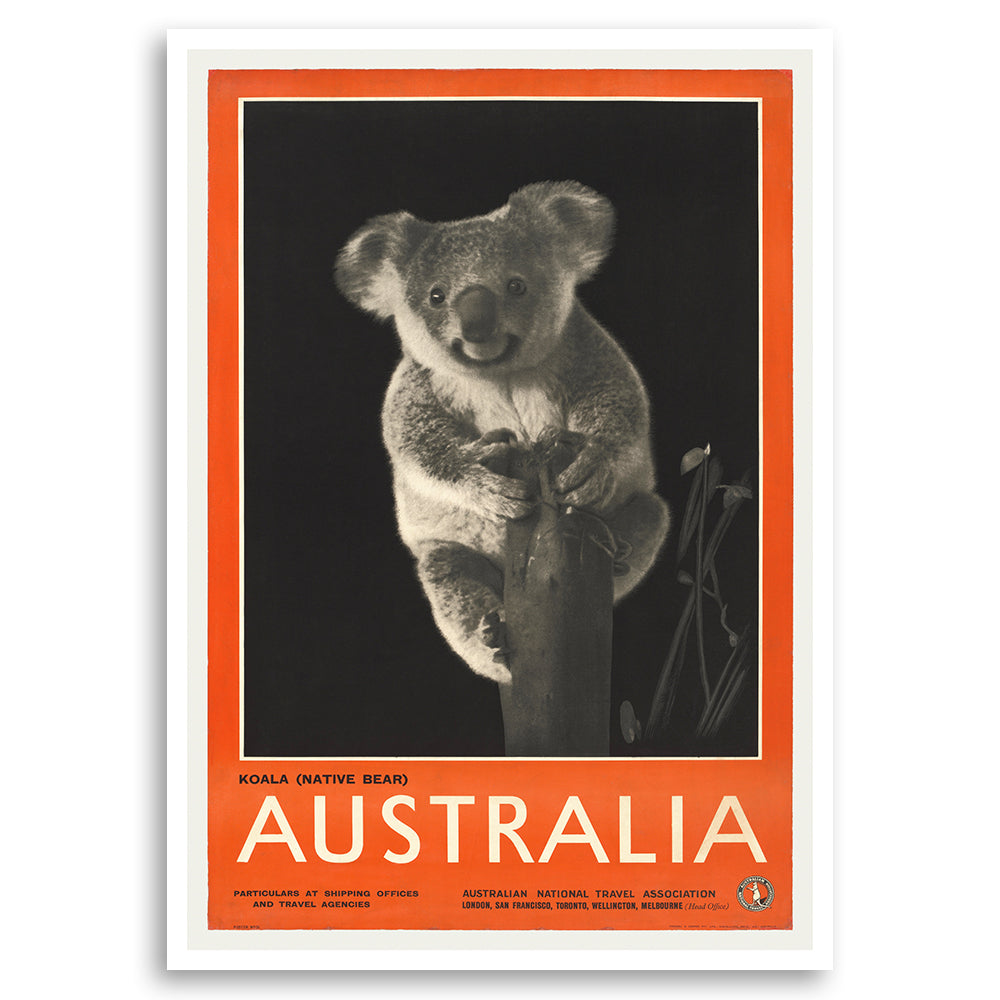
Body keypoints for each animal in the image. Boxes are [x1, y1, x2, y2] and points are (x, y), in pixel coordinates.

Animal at [335, 181, 668, 684]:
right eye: (436, 296)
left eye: (516, 286)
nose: (477, 325)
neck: (500, 373)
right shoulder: (417, 384)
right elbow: (416, 444)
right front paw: (487, 483)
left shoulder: (587, 351)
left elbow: (618, 406)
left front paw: (590, 465)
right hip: (447, 557)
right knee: (452, 580)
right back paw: (492, 642)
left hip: (640, 516)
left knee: (650, 516)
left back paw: (619, 548)